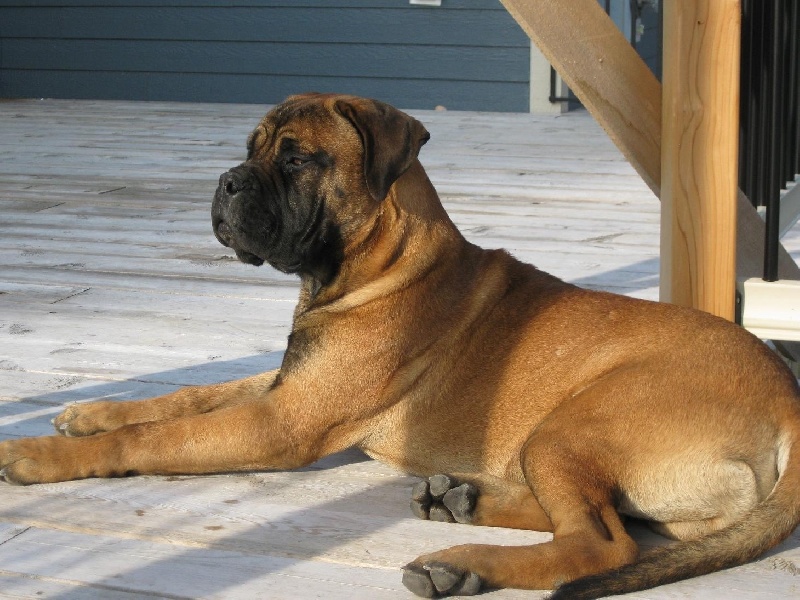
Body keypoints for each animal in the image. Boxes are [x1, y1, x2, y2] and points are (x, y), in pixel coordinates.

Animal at [1, 93, 799, 600]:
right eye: (249, 151)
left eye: (297, 161)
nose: (224, 182)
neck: (379, 260)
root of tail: (788, 398)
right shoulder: (288, 383)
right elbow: (187, 395)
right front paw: (92, 412)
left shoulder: (279, 422)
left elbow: (156, 440)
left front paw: (40, 454)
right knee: (600, 521)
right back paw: (462, 500)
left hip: (573, 424)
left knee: (600, 545)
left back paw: (462, 562)